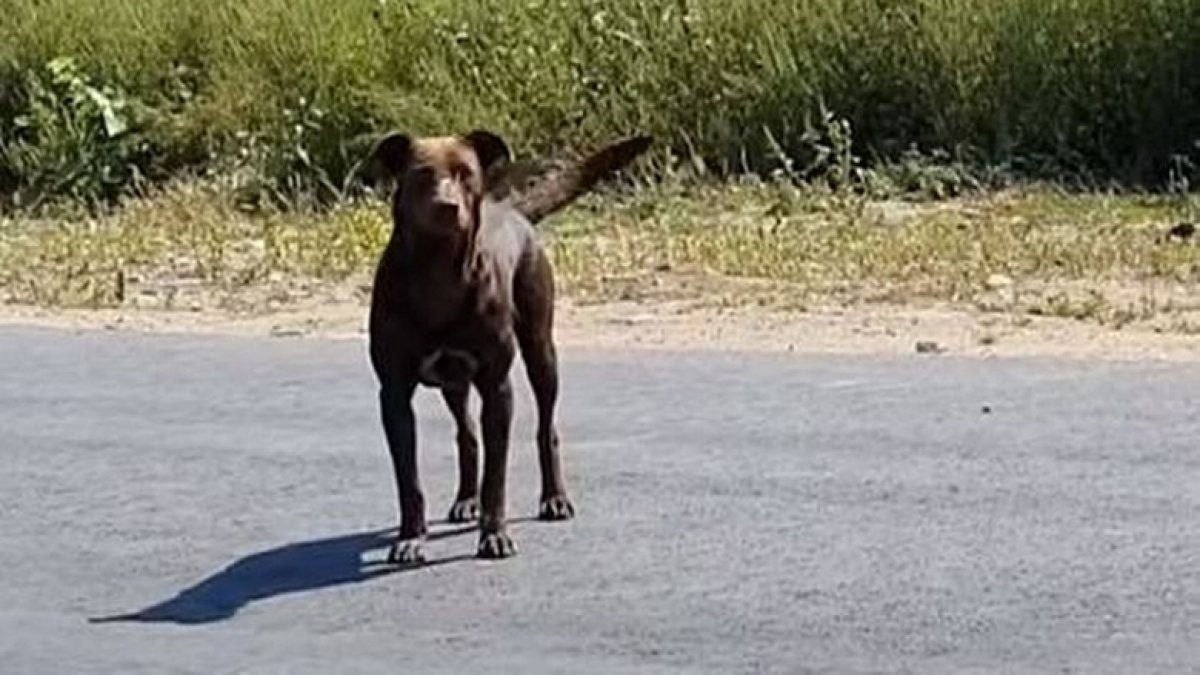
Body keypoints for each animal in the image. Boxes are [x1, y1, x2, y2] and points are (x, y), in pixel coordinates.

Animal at [360, 128, 652, 559]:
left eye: (466, 173)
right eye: (421, 174)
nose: (447, 207)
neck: (438, 271)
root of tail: (511, 209)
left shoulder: (497, 386)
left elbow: (496, 477)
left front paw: (494, 534)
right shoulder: (394, 394)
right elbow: (408, 479)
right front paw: (411, 538)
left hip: (540, 350)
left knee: (546, 428)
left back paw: (554, 498)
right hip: (453, 382)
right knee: (466, 435)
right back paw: (466, 499)